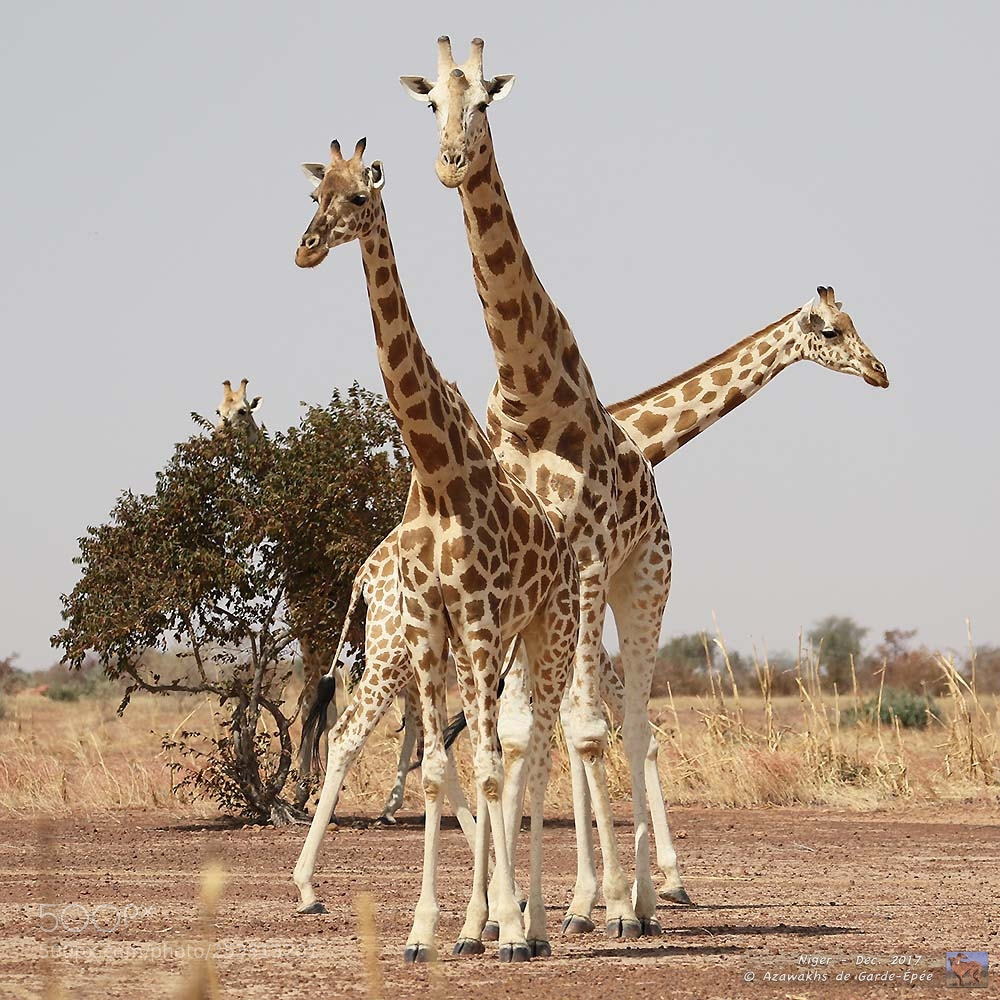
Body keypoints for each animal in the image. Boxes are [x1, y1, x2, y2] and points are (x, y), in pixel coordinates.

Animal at [294, 137, 580, 961]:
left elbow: (486, 765)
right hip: (466, 646)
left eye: (359, 197)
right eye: (314, 195)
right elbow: (434, 771)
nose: (306, 247)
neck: (437, 469)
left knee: (533, 760)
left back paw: (534, 924)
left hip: (547, 632)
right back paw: (481, 920)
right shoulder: (430, 623)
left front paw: (504, 924)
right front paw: (431, 928)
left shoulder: (478, 615)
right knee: (463, 753)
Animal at [403, 36, 680, 937]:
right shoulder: (517, 579)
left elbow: (586, 727)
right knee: (554, 724)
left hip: (642, 579)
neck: (528, 389)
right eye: (432, 104)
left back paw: (640, 901)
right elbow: (528, 732)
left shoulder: (585, 555)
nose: (451, 163)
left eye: (486, 101)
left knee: (634, 724)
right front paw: (508, 914)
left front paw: (604, 904)